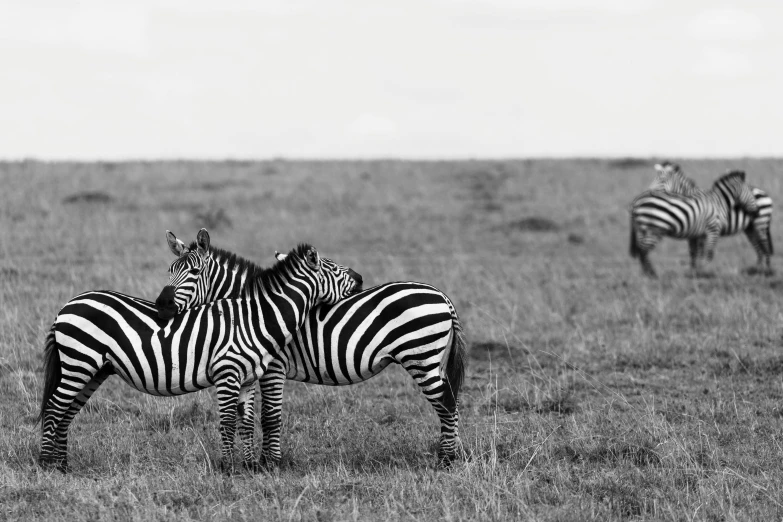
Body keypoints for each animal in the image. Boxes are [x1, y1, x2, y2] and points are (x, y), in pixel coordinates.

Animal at [36, 244, 362, 472]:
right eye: (333, 269)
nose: (360, 277)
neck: (256, 318)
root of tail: (67, 305)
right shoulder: (229, 373)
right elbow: (228, 421)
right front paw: (228, 469)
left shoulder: (247, 378)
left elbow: (245, 423)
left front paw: (249, 468)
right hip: (79, 362)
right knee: (54, 407)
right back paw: (46, 465)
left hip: (94, 369)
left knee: (67, 412)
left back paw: (63, 466)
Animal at [156, 230, 468, 466]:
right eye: (169, 271)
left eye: (194, 271)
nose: (162, 305)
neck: (256, 311)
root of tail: (441, 296)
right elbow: (257, 416)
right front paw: (262, 461)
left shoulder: (273, 367)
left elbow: (270, 416)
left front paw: (270, 464)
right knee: (450, 401)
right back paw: (453, 454)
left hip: (421, 356)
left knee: (446, 402)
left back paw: (447, 459)